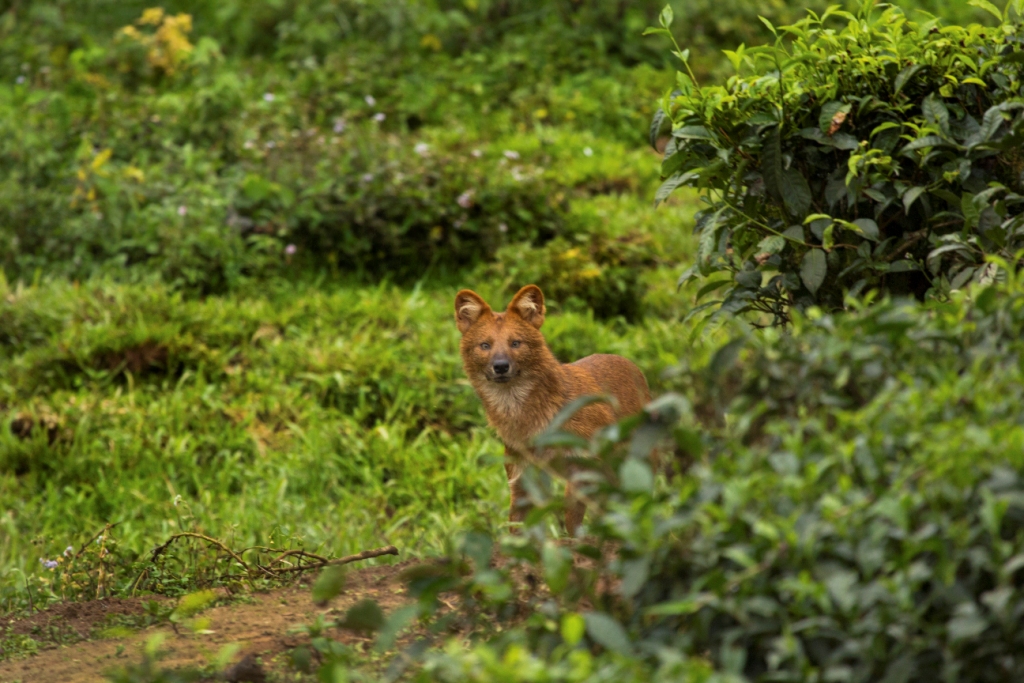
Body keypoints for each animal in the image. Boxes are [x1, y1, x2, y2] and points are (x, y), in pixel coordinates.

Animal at [454, 282, 651, 532]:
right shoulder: (521, 476)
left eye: (515, 343)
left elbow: (573, 522)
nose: (500, 366)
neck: (529, 421)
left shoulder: (583, 465)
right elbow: (516, 527)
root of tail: (629, 363)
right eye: (485, 345)